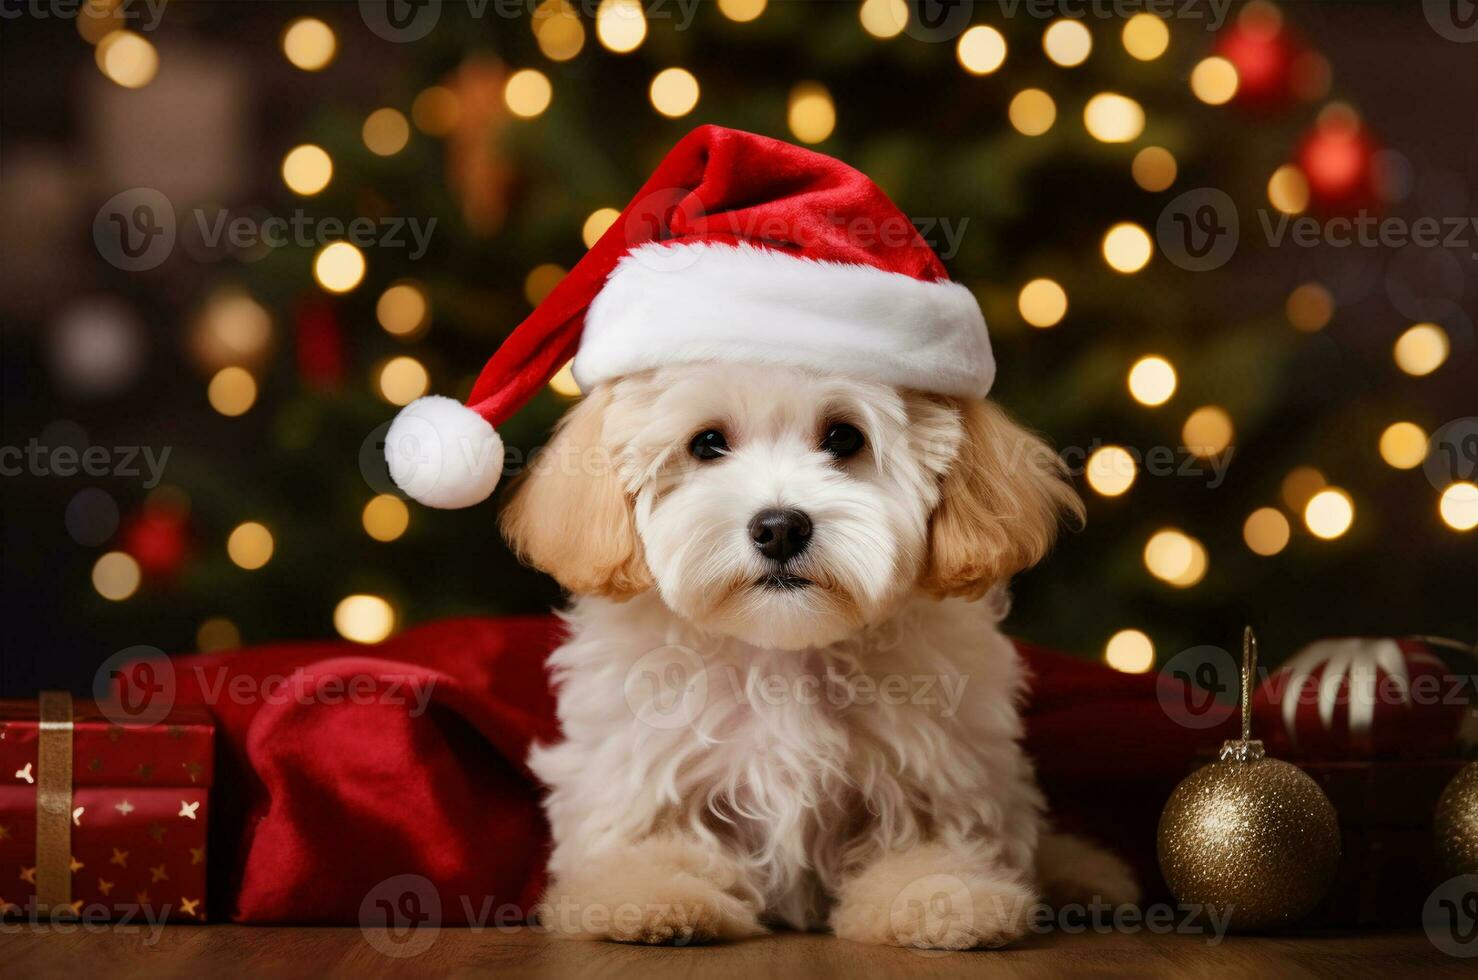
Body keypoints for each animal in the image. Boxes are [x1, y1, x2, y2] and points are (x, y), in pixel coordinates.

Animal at [502, 362, 1135, 951]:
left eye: (843, 437)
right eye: (707, 443)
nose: (780, 527)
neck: (783, 648)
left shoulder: (932, 774)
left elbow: (925, 846)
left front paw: (946, 898)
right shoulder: (646, 769)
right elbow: (653, 841)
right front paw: (650, 897)